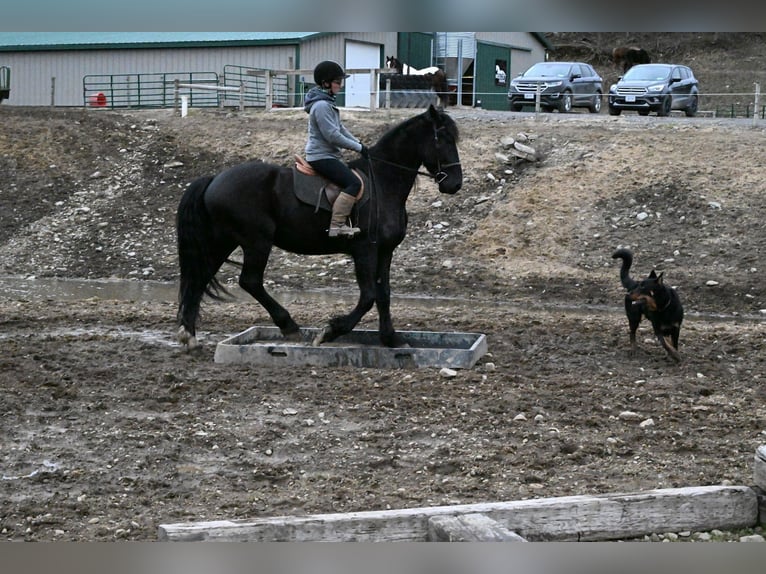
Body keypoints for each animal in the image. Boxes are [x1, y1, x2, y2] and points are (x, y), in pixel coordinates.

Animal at [175, 104, 462, 351]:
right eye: (442, 139)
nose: (454, 184)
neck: (383, 182)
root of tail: (215, 178)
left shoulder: (385, 251)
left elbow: (384, 294)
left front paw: (391, 338)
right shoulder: (365, 250)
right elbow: (368, 295)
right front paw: (331, 330)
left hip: (222, 241)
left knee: (200, 277)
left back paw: (189, 335)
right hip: (256, 241)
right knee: (250, 281)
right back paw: (288, 325)